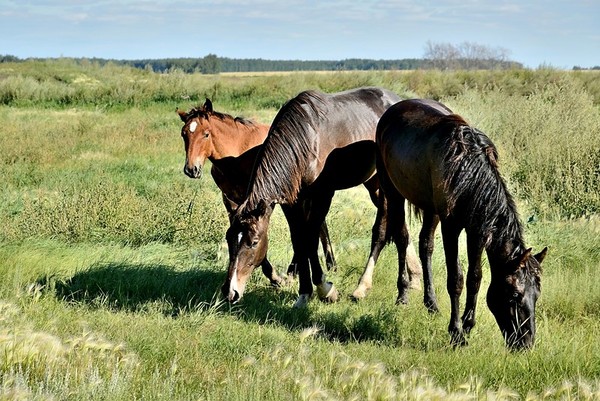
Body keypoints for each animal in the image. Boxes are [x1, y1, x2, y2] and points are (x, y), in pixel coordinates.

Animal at [178, 99, 338, 288]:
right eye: (184, 134)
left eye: (206, 134)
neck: (236, 156)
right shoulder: (232, 202)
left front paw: (276, 278)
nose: (191, 169)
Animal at [220, 86, 422, 306]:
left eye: (254, 242)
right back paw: (414, 277)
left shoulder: (323, 195)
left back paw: (369, 286)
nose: (230, 292)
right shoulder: (291, 204)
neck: (307, 140)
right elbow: (299, 240)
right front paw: (304, 292)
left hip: (383, 186)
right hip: (374, 184)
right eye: (229, 239)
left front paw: (325, 289)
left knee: (384, 230)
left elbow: (311, 239)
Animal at [378, 97, 548, 346]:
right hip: (393, 192)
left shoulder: (477, 230)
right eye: (515, 295)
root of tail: (395, 108)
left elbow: (474, 278)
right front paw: (456, 332)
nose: (526, 344)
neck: (468, 171)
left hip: (431, 208)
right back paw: (403, 295)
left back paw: (431, 303)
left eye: (536, 294)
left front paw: (468, 325)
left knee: (425, 245)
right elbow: (455, 279)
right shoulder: (451, 227)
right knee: (402, 237)